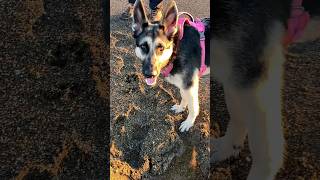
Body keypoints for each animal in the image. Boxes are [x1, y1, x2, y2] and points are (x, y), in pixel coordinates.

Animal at [131, 0, 318, 179]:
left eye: (160, 47)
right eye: (143, 46)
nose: (149, 73)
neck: (177, 47)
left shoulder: (237, 79)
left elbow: (194, 106)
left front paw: (189, 122)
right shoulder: (203, 81)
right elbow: (186, 98)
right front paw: (181, 107)